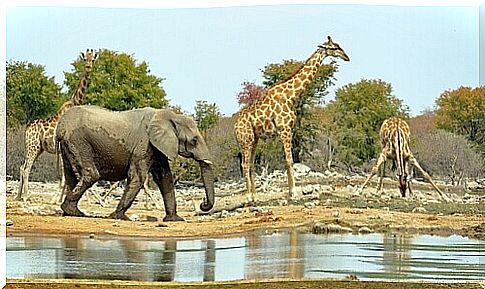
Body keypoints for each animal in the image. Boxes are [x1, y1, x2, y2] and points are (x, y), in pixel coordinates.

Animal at [16, 48, 98, 199]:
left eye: (93, 59)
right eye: (85, 59)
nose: (89, 66)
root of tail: (27, 129)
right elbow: (65, 177)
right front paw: (57, 199)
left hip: (36, 148)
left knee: (22, 167)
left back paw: (18, 196)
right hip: (33, 147)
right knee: (26, 168)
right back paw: (26, 196)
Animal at [54, 104, 214, 219]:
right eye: (194, 140)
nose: (203, 203)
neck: (171, 117)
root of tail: (59, 126)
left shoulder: (157, 147)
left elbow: (165, 178)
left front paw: (174, 220)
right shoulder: (143, 145)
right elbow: (138, 177)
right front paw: (117, 217)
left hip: (69, 146)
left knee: (71, 177)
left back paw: (72, 212)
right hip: (78, 142)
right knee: (90, 175)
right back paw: (73, 212)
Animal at [234, 36, 348, 199]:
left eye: (339, 45)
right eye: (334, 48)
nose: (347, 57)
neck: (291, 96)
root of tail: (235, 127)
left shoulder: (289, 129)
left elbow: (288, 160)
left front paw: (291, 191)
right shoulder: (285, 129)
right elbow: (289, 160)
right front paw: (293, 192)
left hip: (254, 139)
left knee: (249, 163)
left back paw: (255, 196)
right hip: (246, 140)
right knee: (244, 163)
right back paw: (249, 196)